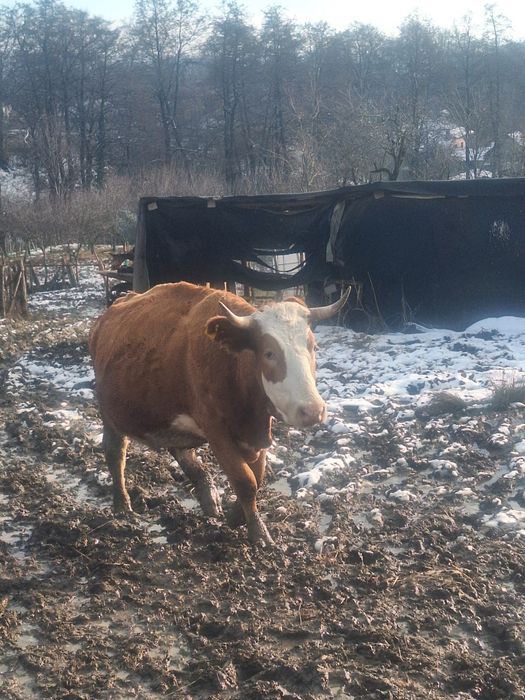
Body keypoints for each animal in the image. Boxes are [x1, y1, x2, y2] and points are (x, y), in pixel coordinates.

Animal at [89, 282, 350, 545]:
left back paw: (208, 497)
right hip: (110, 415)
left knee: (183, 453)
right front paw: (258, 532)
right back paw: (122, 505)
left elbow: (257, 477)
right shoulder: (217, 432)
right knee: (115, 453)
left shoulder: (256, 435)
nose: (312, 411)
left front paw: (236, 516)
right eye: (269, 353)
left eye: (313, 347)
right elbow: (245, 481)